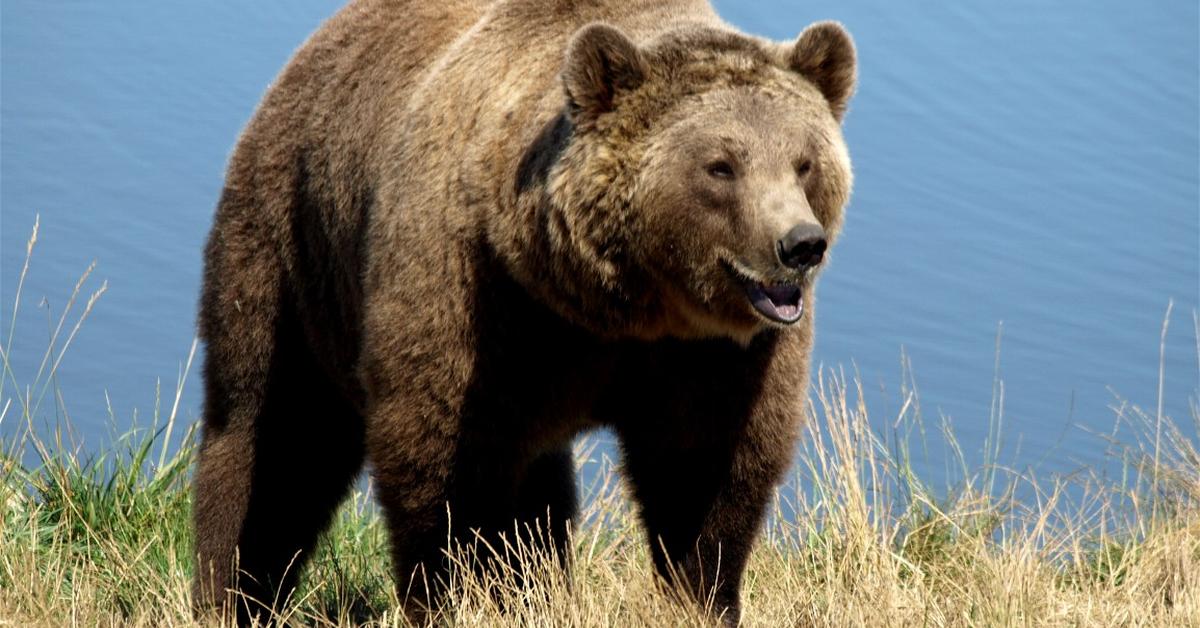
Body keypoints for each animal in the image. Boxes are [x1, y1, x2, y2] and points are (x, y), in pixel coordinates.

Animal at [194, 0, 854, 619]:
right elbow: (441, 461)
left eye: (804, 161)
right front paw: (454, 595)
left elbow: (707, 463)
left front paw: (699, 594)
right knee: (276, 431)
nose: (800, 244)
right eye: (721, 165)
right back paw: (231, 590)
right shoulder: (478, 301)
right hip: (292, 249)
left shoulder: (710, 355)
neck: (616, 305)